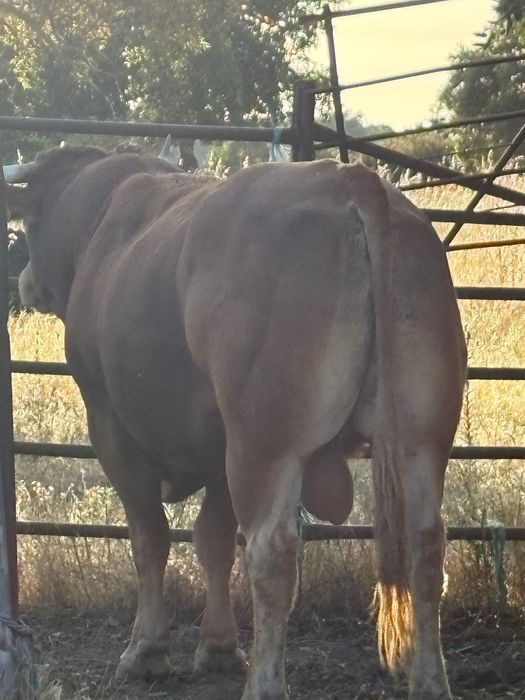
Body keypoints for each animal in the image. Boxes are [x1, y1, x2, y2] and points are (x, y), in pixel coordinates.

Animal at [4, 144, 466, 700]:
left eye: (29, 225)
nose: (25, 282)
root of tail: (349, 180)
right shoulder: (218, 443)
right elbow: (213, 541)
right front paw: (219, 648)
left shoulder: (111, 429)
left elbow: (150, 539)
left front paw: (146, 652)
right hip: (421, 440)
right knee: (426, 544)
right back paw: (431, 680)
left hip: (265, 444)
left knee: (273, 553)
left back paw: (264, 683)